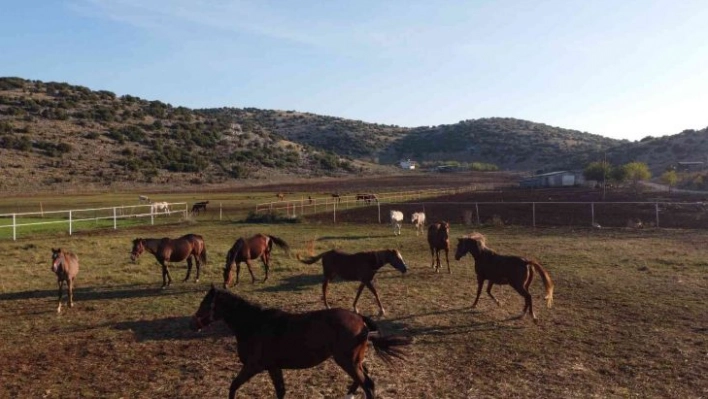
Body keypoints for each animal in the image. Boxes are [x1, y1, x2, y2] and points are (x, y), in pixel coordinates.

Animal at [191, 286, 412, 399]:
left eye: (205, 304)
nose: (194, 323)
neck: (255, 325)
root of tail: (360, 320)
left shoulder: (254, 366)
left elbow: (233, 387)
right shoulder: (273, 367)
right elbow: (280, 391)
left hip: (347, 361)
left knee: (367, 384)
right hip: (353, 360)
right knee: (363, 379)